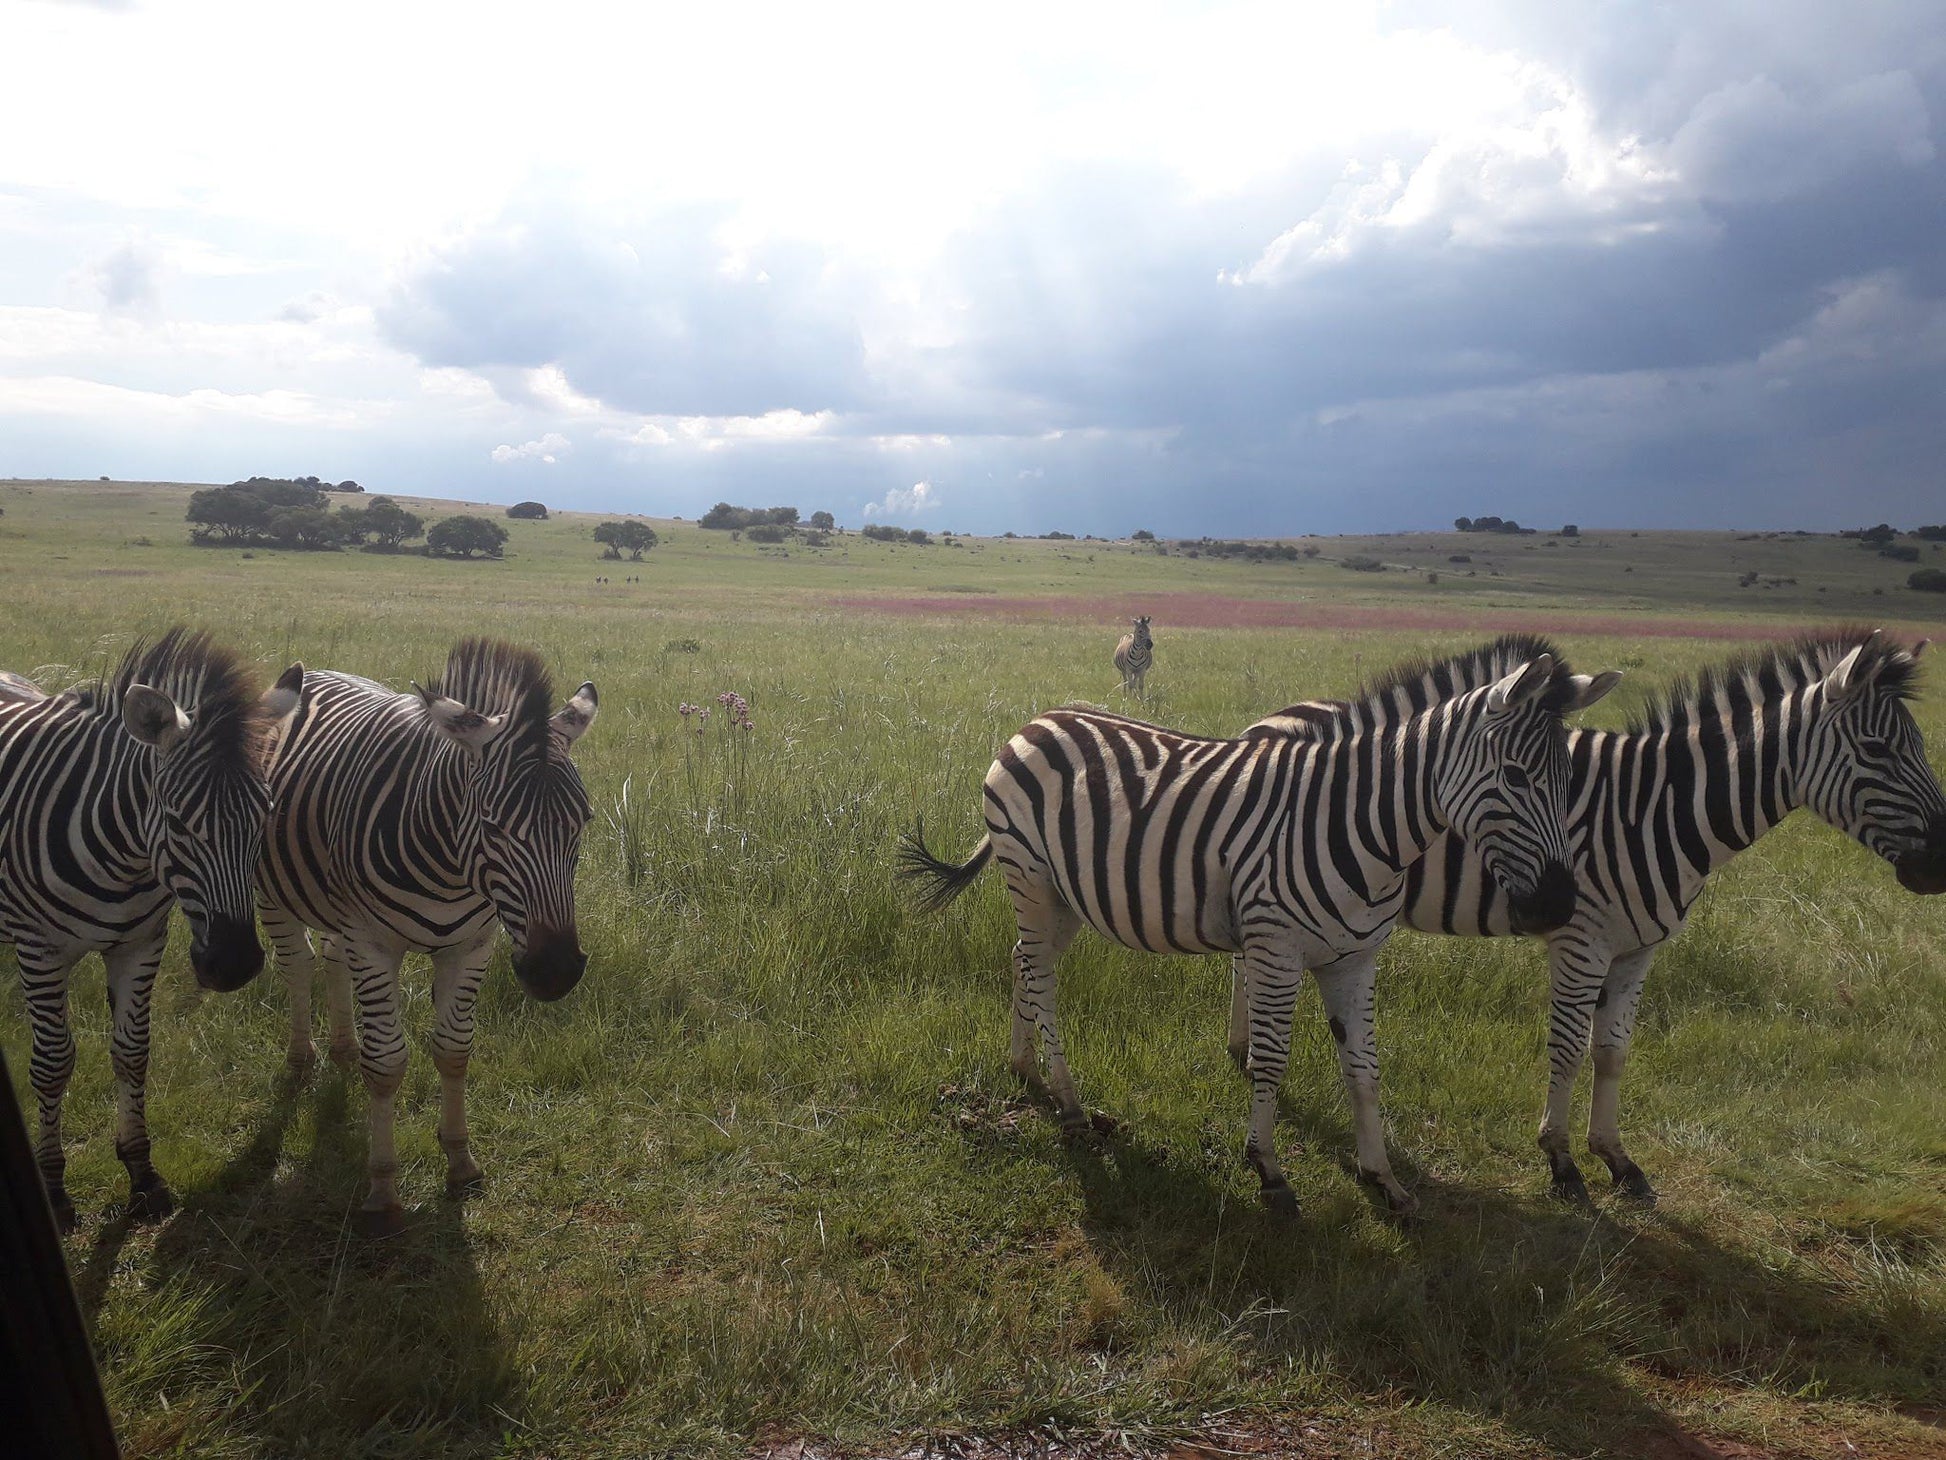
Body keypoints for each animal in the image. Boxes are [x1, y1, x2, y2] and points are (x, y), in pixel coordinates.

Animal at [0, 634, 299, 1230]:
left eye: (266, 815)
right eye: (178, 822)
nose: (233, 966)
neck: (123, 861)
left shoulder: (140, 944)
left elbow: (132, 1051)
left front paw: (142, 1174)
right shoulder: (40, 949)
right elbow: (52, 1064)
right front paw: (54, 1189)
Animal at [258, 638, 595, 1238]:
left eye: (583, 821)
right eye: (493, 826)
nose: (555, 971)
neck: (451, 869)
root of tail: (316, 670)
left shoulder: (472, 945)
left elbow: (454, 1050)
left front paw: (461, 1162)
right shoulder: (374, 943)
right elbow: (388, 1063)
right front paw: (383, 1190)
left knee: (331, 960)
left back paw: (343, 1047)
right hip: (274, 893)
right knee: (297, 965)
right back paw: (302, 1060)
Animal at [895, 646, 1611, 1214]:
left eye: (1572, 780)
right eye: (1515, 777)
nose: (1558, 904)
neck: (1364, 826)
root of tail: (1038, 720)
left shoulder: (1356, 958)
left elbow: (1366, 1069)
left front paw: (1382, 1178)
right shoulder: (1275, 948)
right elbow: (1269, 1059)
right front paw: (1268, 1171)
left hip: (1065, 897)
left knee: (1026, 961)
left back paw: (1024, 1065)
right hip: (1032, 876)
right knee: (1041, 977)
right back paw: (1070, 1105)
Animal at [1237, 622, 1938, 1206]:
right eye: (1878, 750)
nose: (1944, 866)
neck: (1653, 812)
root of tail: (1268, 719)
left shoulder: (1639, 948)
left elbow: (1613, 1051)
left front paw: (1618, 1160)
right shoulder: (1583, 942)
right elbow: (1570, 1048)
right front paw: (1563, 1163)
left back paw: (1242, 1050)